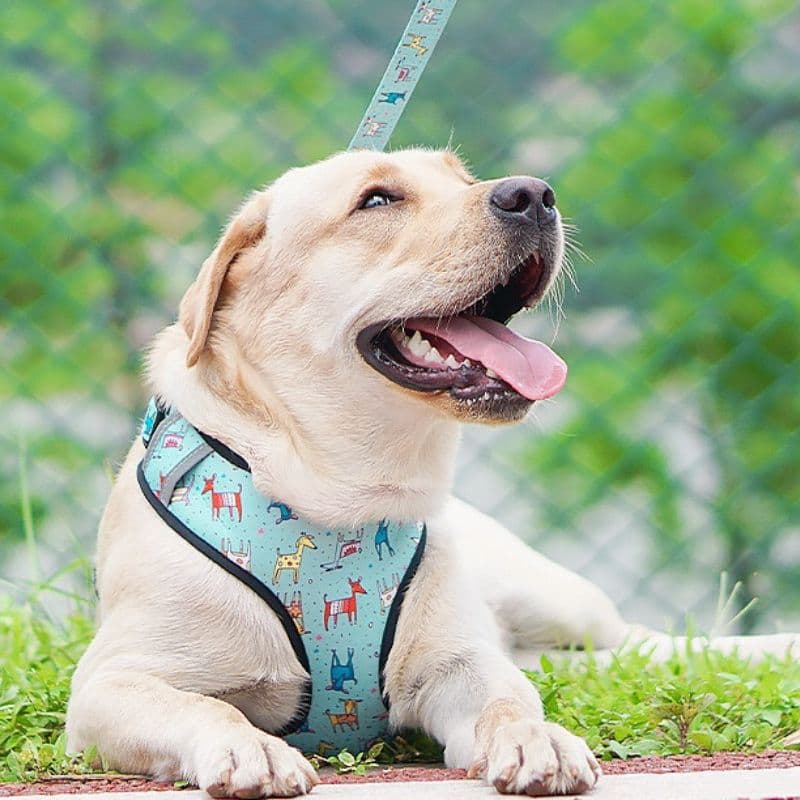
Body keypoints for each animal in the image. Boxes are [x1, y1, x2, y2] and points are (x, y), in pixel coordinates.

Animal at [64, 148, 636, 792]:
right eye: (378, 200)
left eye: (463, 179)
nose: (534, 195)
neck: (346, 491)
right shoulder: (110, 682)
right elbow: (205, 707)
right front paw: (249, 747)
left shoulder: (461, 663)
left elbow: (506, 700)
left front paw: (538, 737)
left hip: (552, 596)